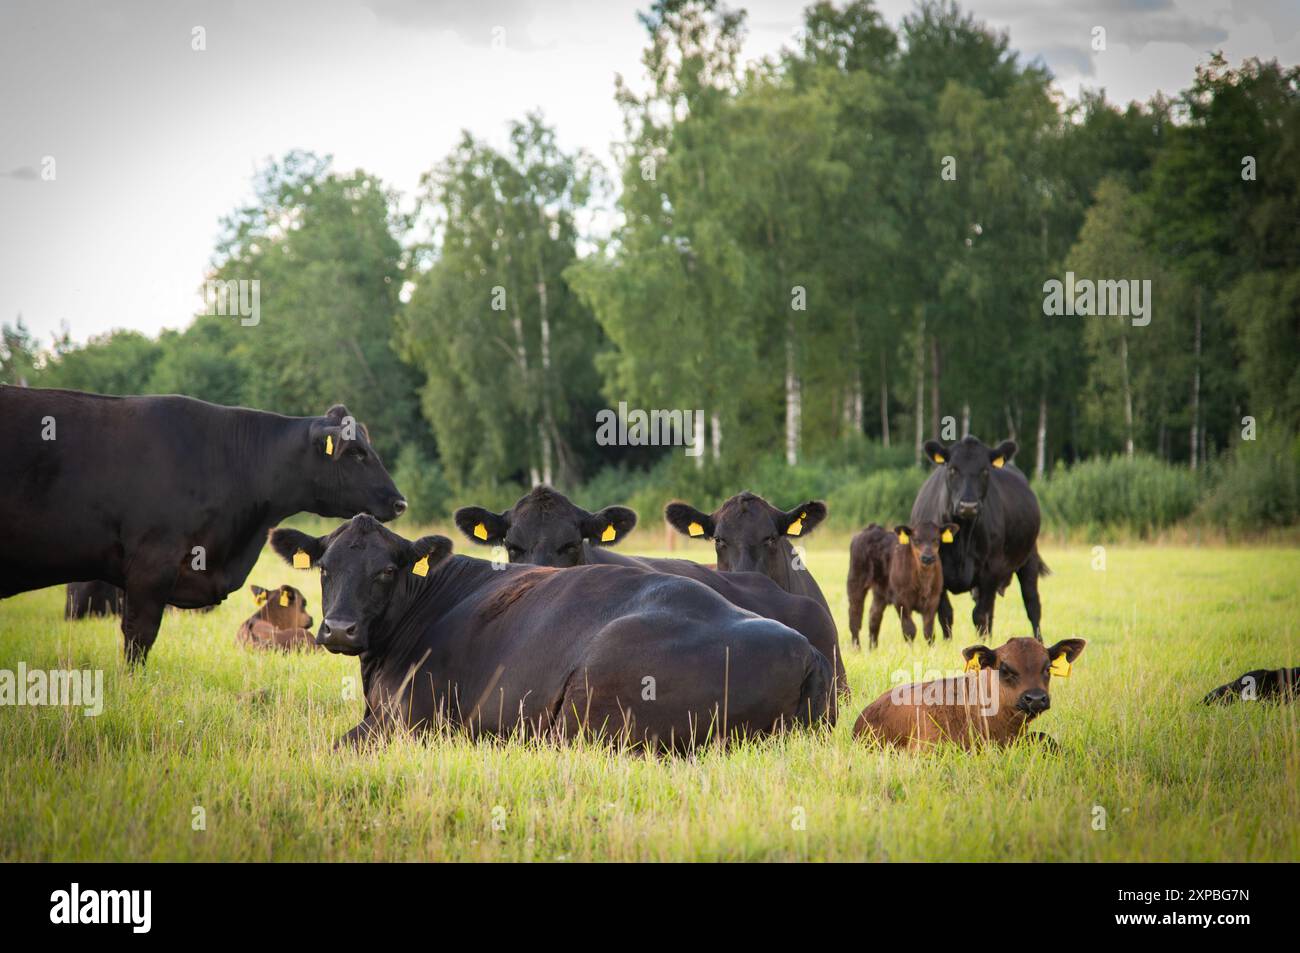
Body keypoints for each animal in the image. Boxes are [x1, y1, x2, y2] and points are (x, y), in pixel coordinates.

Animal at [268, 515, 836, 749]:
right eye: (325, 568)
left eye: (386, 570)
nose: (340, 629)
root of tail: (803, 648)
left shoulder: (408, 722)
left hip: (590, 700)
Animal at [910, 436, 1048, 642]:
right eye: (952, 469)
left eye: (985, 470)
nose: (968, 506)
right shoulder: (934, 567)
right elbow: (945, 613)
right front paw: (947, 643)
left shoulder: (991, 569)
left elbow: (980, 614)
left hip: (1029, 558)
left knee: (1032, 604)